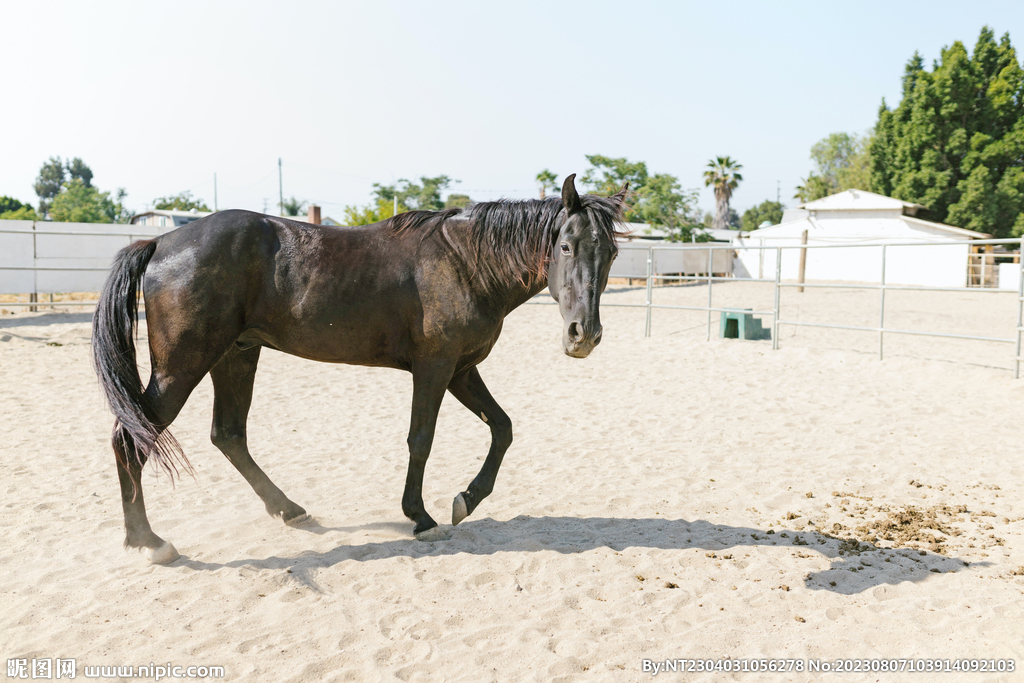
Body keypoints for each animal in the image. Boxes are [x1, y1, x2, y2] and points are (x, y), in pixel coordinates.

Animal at [92, 174, 627, 564]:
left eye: (612, 252)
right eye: (565, 247)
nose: (583, 335)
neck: (465, 262)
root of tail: (161, 242)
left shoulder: (461, 370)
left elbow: (503, 428)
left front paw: (466, 500)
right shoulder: (434, 368)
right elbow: (421, 439)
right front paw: (421, 516)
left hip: (236, 355)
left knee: (228, 435)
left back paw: (288, 510)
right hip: (183, 365)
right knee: (131, 438)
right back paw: (149, 542)